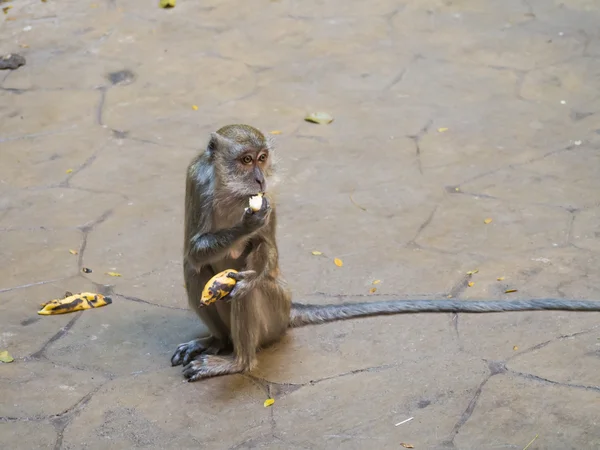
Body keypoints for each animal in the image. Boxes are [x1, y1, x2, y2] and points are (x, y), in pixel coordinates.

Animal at [170, 124, 600, 384]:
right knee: (194, 271)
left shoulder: (271, 199)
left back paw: (238, 360)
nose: (260, 178)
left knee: (248, 290)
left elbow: (266, 255)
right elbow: (194, 248)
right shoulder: (196, 177)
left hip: (274, 313)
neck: (232, 190)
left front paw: (252, 249)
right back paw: (217, 342)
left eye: (261, 159)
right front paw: (244, 226)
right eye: (245, 160)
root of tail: (291, 308)